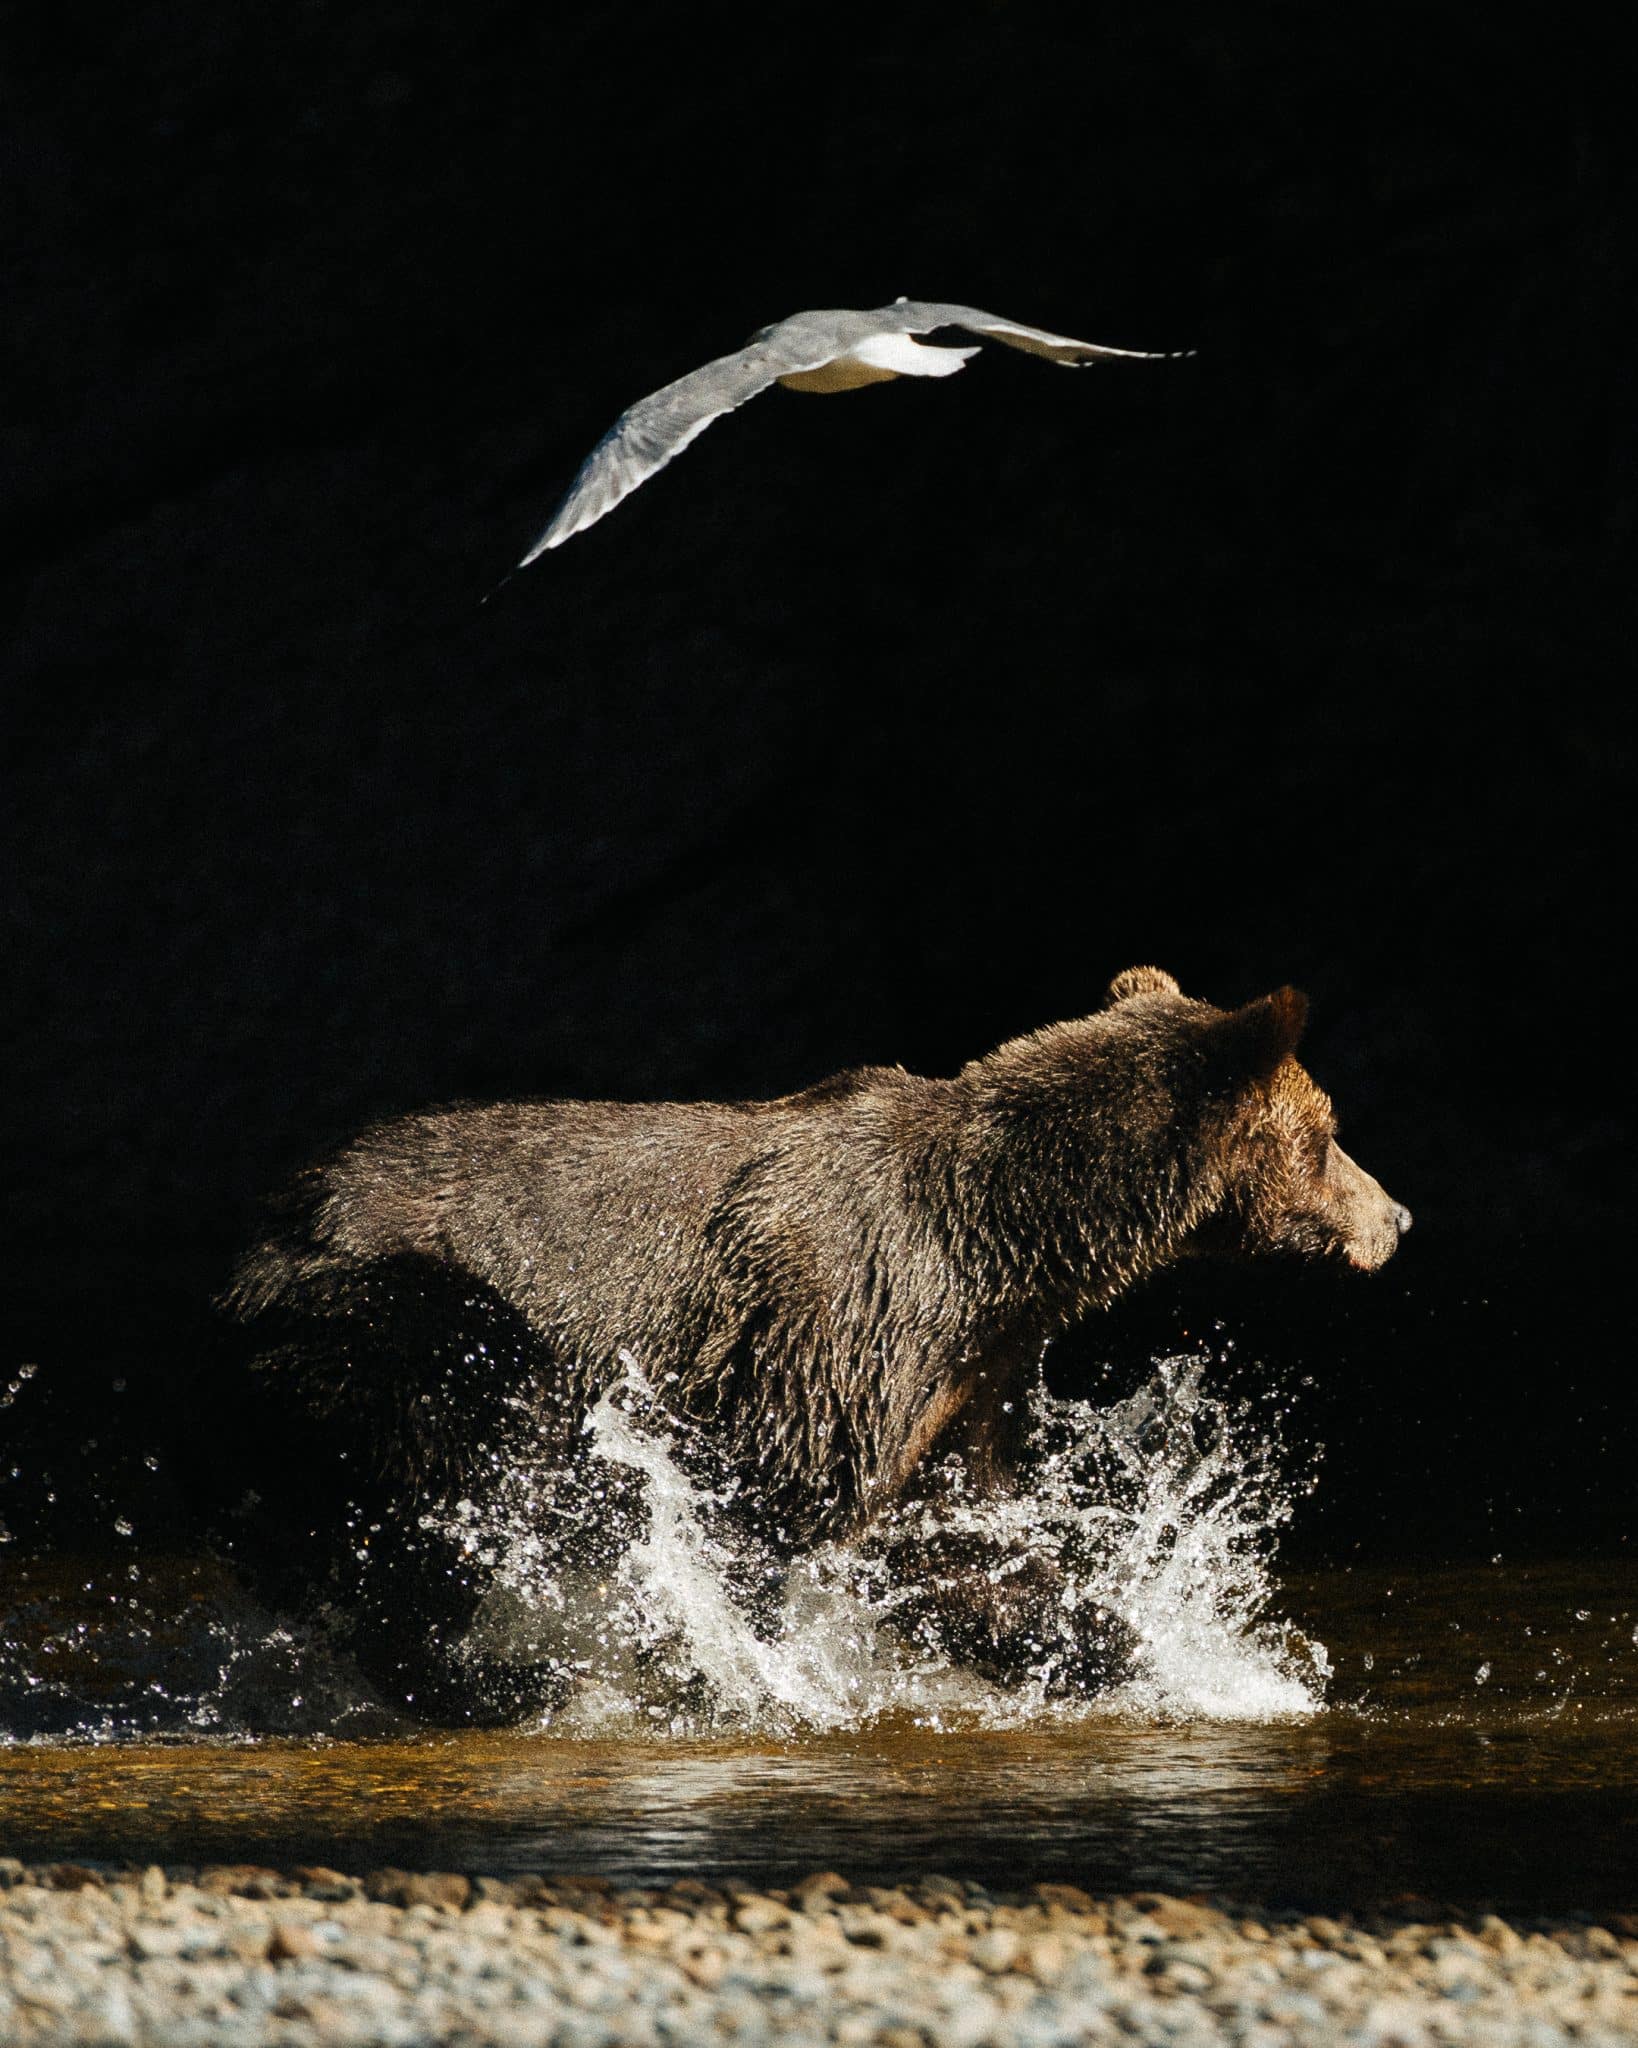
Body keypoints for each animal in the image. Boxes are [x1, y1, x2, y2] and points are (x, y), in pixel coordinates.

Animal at [205, 967, 1409, 1721]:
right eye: (1332, 1132)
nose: (1396, 1217)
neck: (1004, 1240)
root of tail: (259, 1241)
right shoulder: (835, 1324)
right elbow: (767, 1505)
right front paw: (740, 1674)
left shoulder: (950, 1379)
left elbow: (958, 1544)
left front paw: (1147, 1655)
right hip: (402, 1313)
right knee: (482, 1455)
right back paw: (508, 1678)